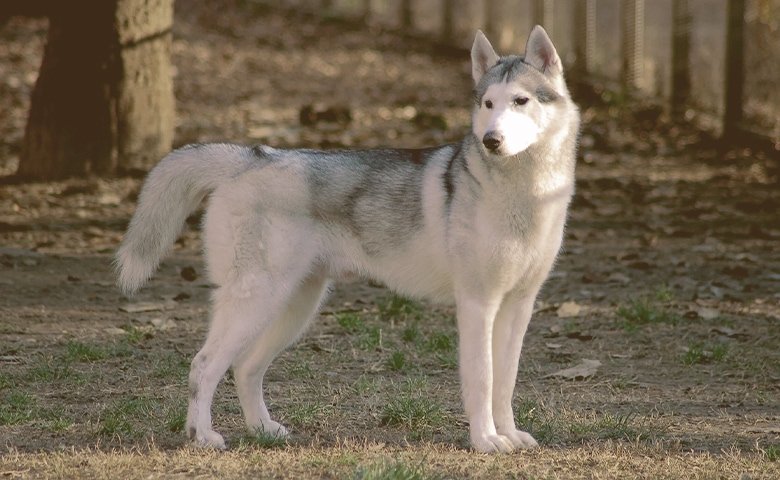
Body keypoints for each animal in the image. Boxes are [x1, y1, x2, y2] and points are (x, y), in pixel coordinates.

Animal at [117, 26, 580, 454]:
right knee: (203, 365)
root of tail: (253, 157)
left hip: (294, 307)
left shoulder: (518, 307)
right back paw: (202, 436)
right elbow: (482, 381)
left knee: (245, 368)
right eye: (488, 104)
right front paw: (485, 440)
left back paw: (262, 430)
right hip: (257, 301)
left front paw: (508, 434)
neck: (525, 194)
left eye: (521, 101)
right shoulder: (477, 304)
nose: (491, 140)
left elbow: (505, 381)